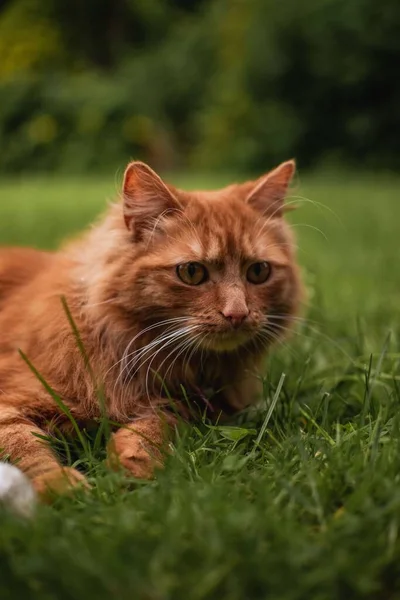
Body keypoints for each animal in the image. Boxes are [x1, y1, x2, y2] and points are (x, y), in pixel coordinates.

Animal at [0, 159, 300, 496]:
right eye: (192, 272)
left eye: (258, 271)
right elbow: (25, 448)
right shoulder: (10, 399)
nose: (237, 313)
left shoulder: (177, 406)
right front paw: (60, 485)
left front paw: (134, 464)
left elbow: (153, 426)